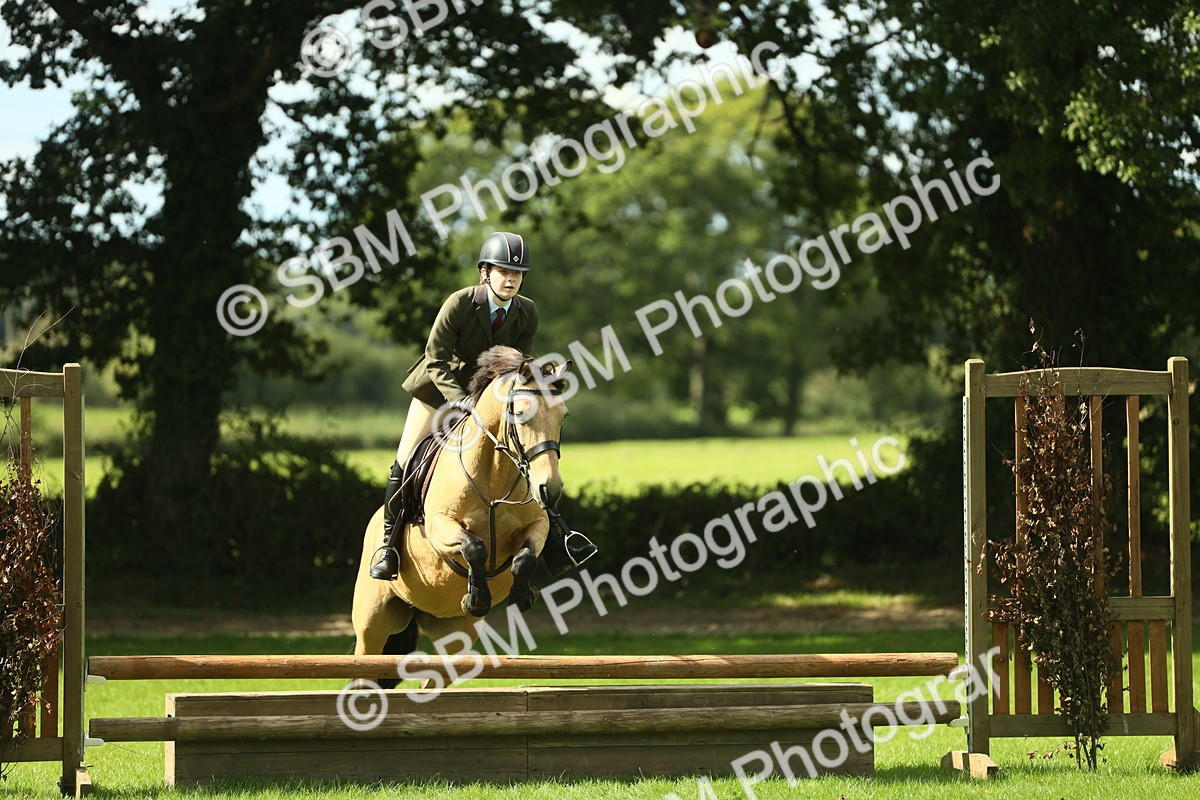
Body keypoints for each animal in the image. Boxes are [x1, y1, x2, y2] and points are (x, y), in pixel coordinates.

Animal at [352, 346, 572, 666]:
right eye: (520, 414)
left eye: (563, 416)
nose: (550, 489)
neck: (495, 478)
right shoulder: (439, 528)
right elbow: (475, 547)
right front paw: (478, 598)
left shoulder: (538, 526)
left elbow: (526, 557)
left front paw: (520, 596)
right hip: (373, 624)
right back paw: (385, 562)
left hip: (455, 634)